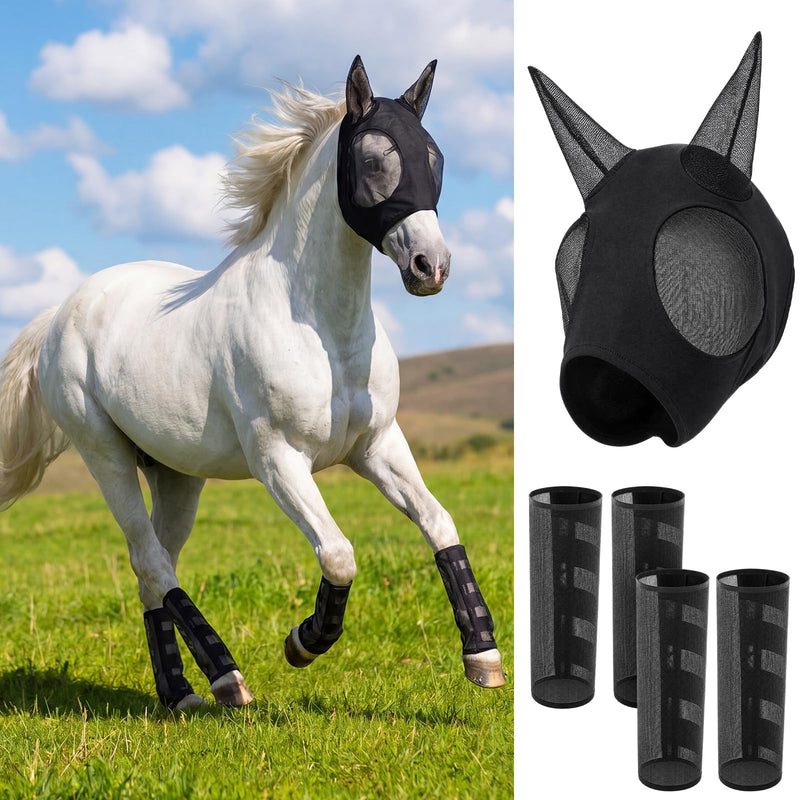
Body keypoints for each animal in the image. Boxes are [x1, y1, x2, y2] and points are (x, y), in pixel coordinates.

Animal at [0, 56, 505, 710]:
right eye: (373, 160)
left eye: (436, 157)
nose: (431, 268)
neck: (321, 328)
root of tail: (62, 310)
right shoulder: (278, 460)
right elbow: (339, 555)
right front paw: (302, 643)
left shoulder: (378, 446)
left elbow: (439, 523)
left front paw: (484, 658)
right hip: (104, 455)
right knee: (152, 562)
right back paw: (227, 679)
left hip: (175, 475)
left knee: (151, 569)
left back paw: (180, 694)